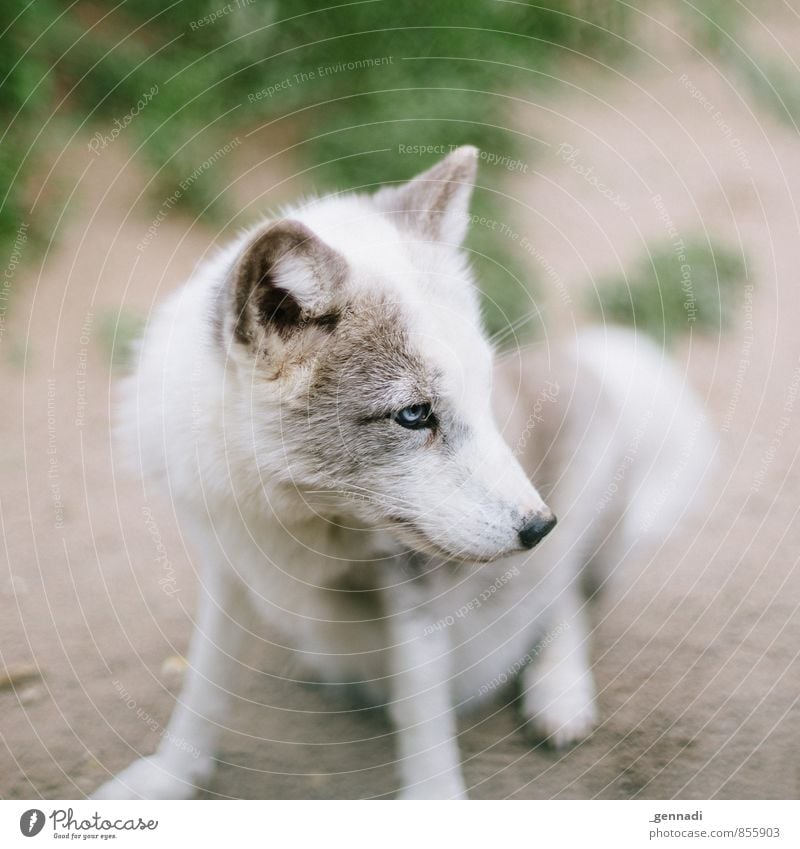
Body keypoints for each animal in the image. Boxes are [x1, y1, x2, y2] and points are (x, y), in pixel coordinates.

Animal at [95, 147, 712, 800]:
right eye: (414, 414)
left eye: (483, 393)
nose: (539, 527)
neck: (296, 513)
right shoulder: (227, 564)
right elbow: (203, 685)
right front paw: (168, 776)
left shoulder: (418, 585)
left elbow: (423, 714)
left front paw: (433, 798)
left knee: (564, 598)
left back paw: (559, 693)